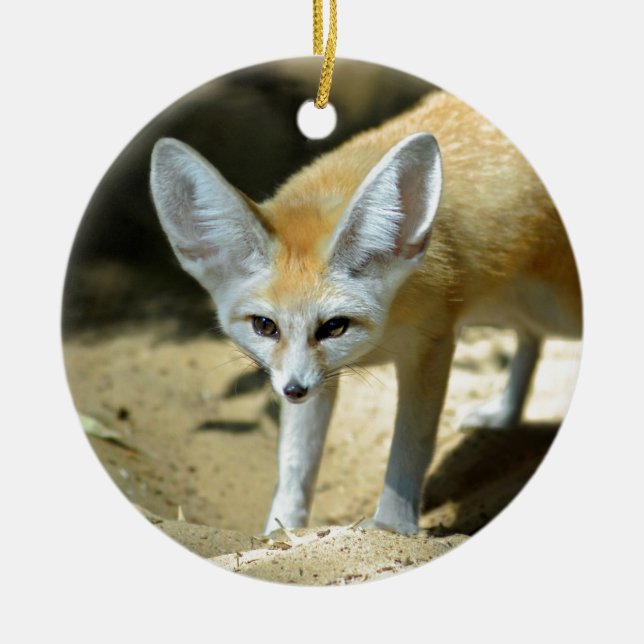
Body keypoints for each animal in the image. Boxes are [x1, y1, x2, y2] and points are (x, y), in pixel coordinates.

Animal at [149, 90, 581, 535]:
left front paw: (393, 526)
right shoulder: (316, 377)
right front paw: (279, 533)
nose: (293, 391)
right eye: (265, 326)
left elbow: (409, 447)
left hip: (554, 309)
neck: (382, 335)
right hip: (506, 307)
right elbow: (295, 465)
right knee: (530, 335)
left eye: (335, 326)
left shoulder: (431, 346)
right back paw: (507, 412)